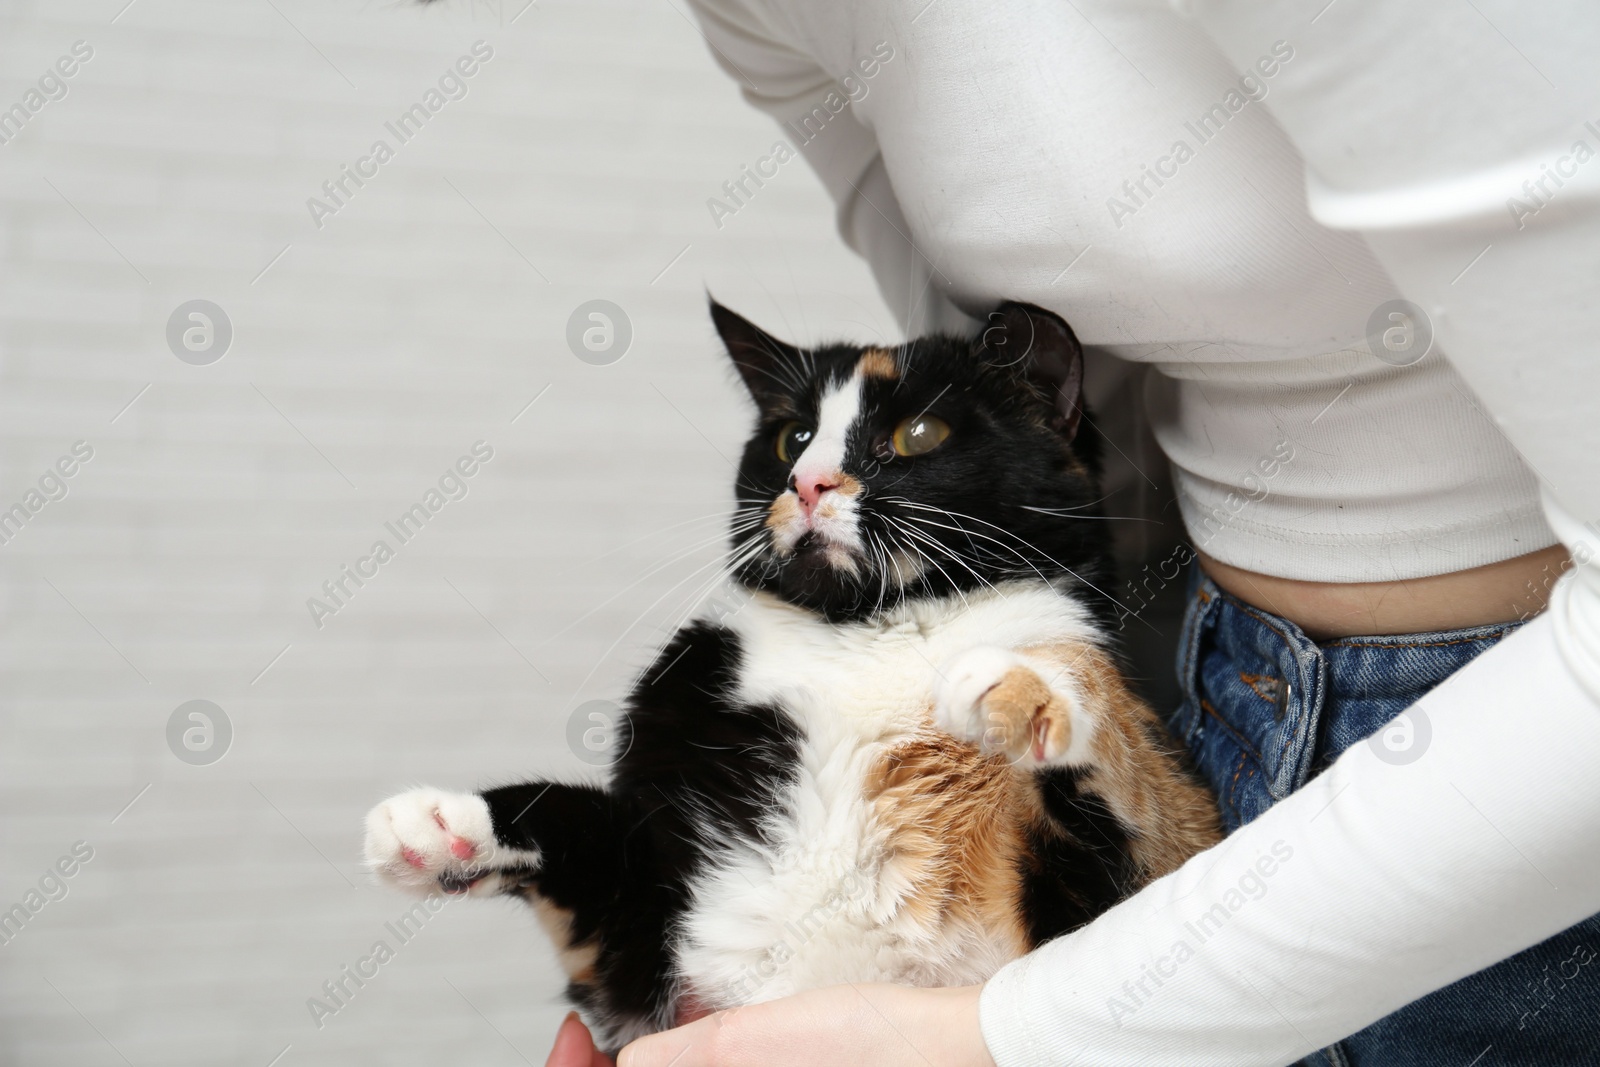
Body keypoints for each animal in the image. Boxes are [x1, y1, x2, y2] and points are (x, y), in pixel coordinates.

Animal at [360, 300, 1209, 1049]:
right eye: (791, 436)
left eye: (918, 432)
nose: (807, 481)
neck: (871, 632)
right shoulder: (636, 963)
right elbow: (587, 833)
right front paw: (441, 824)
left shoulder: (1141, 874)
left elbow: (1138, 779)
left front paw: (1025, 691)